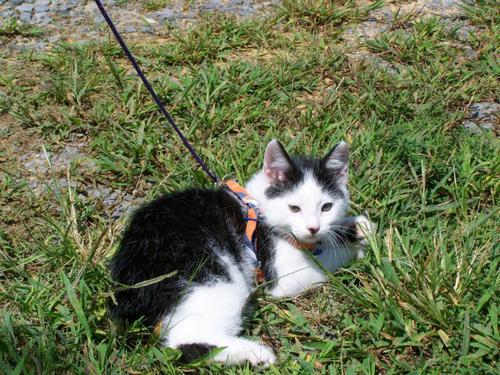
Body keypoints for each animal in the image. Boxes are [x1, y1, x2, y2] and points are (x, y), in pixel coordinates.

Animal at [110, 140, 376, 368]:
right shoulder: (278, 273)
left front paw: (356, 228)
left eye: (327, 207)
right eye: (294, 208)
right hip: (213, 273)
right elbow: (322, 264)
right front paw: (356, 246)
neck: (259, 209)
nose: (313, 228)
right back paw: (255, 354)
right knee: (184, 338)